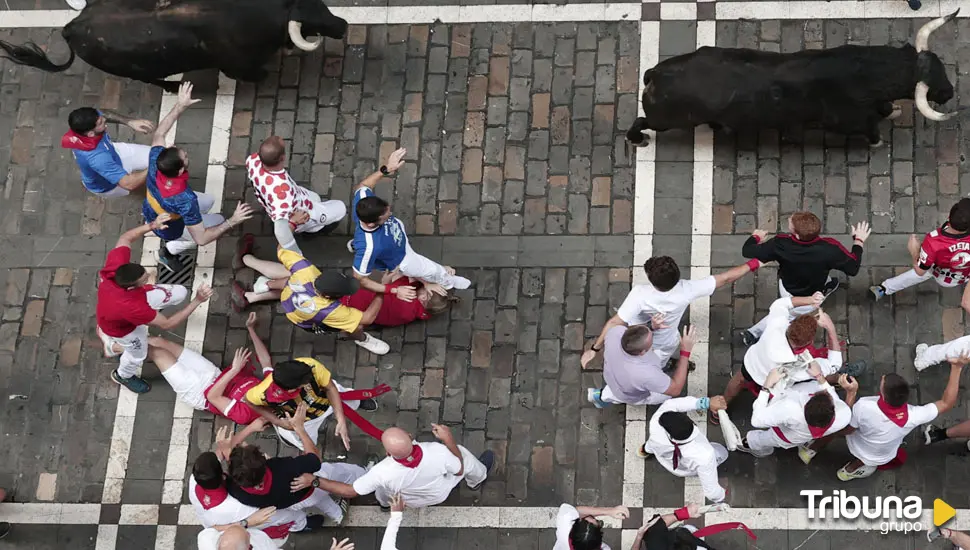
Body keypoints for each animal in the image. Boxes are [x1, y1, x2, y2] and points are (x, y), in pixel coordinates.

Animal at [0, 0, 346, 91]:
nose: (342, 25)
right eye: (309, 21)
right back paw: (170, 86)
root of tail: (69, 28)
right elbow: (256, 74)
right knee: (148, 79)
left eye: (320, 4)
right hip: (133, 71)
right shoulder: (239, 66)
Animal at [628, 11, 960, 149]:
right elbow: (871, 131)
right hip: (666, 120)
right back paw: (638, 139)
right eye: (933, 80)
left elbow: (884, 109)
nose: (949, 92)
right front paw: (878, 142)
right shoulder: (848, 122)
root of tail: (655, 73)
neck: (863, 74)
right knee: (641, 122)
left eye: (942, 66)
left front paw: (893, 110)